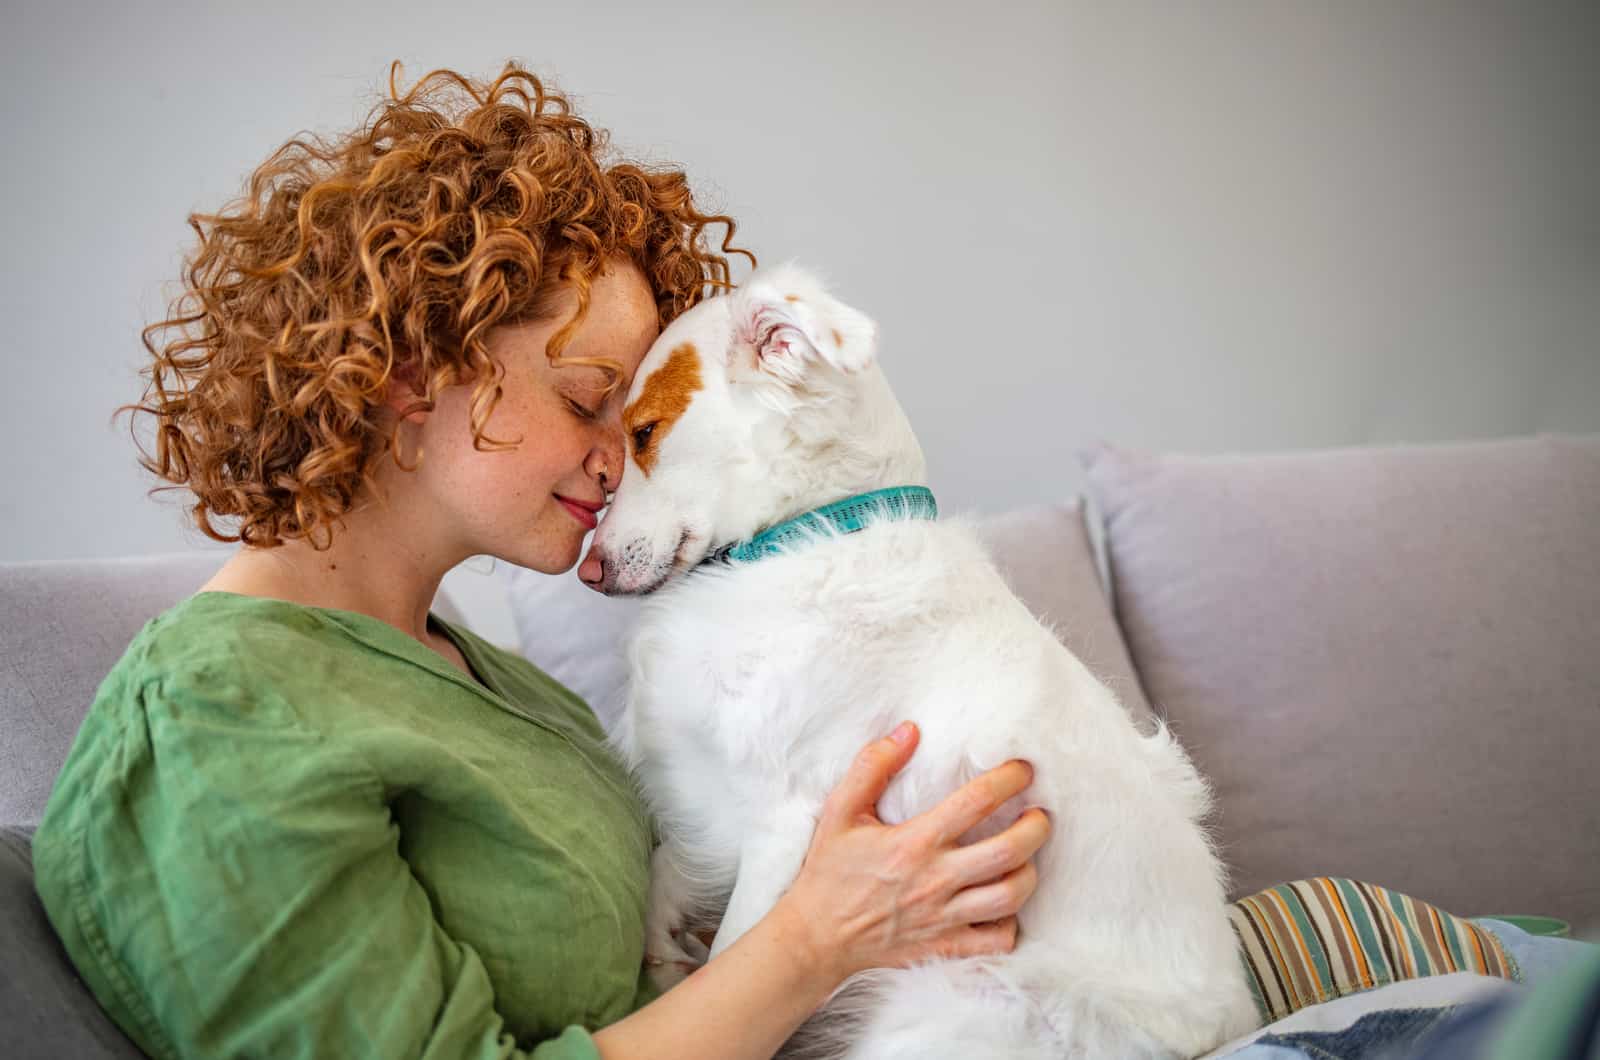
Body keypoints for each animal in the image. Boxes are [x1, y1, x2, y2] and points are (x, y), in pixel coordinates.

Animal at [582, 264, 1254, 1056]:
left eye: (643, 433)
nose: (588, 570)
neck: (803, 539)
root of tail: (1231, 1024)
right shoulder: (704, 794)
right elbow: (665, 871)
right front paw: (662, 950)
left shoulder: (783, 824)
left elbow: (734, 957)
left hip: (947, 1006)